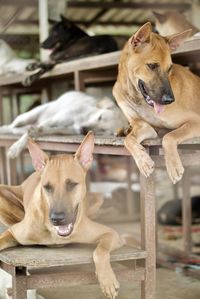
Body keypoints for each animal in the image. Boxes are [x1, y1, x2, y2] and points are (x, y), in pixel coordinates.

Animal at [0, 134, 126, 299]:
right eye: (47, 187)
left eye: (72, 184)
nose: (57, 219)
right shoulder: (13, 232)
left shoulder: (111, 234)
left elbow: (100, 251)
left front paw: (107, 280)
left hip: (99, 198)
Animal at [113, 22, 200, 184]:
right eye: (152, 66)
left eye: (170, 68)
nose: (169, 100)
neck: (137, 98)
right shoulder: (143, 126)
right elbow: (129, 140)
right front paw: (143, 160)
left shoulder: (196, 121)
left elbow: (169, 136)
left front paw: (173, 165)